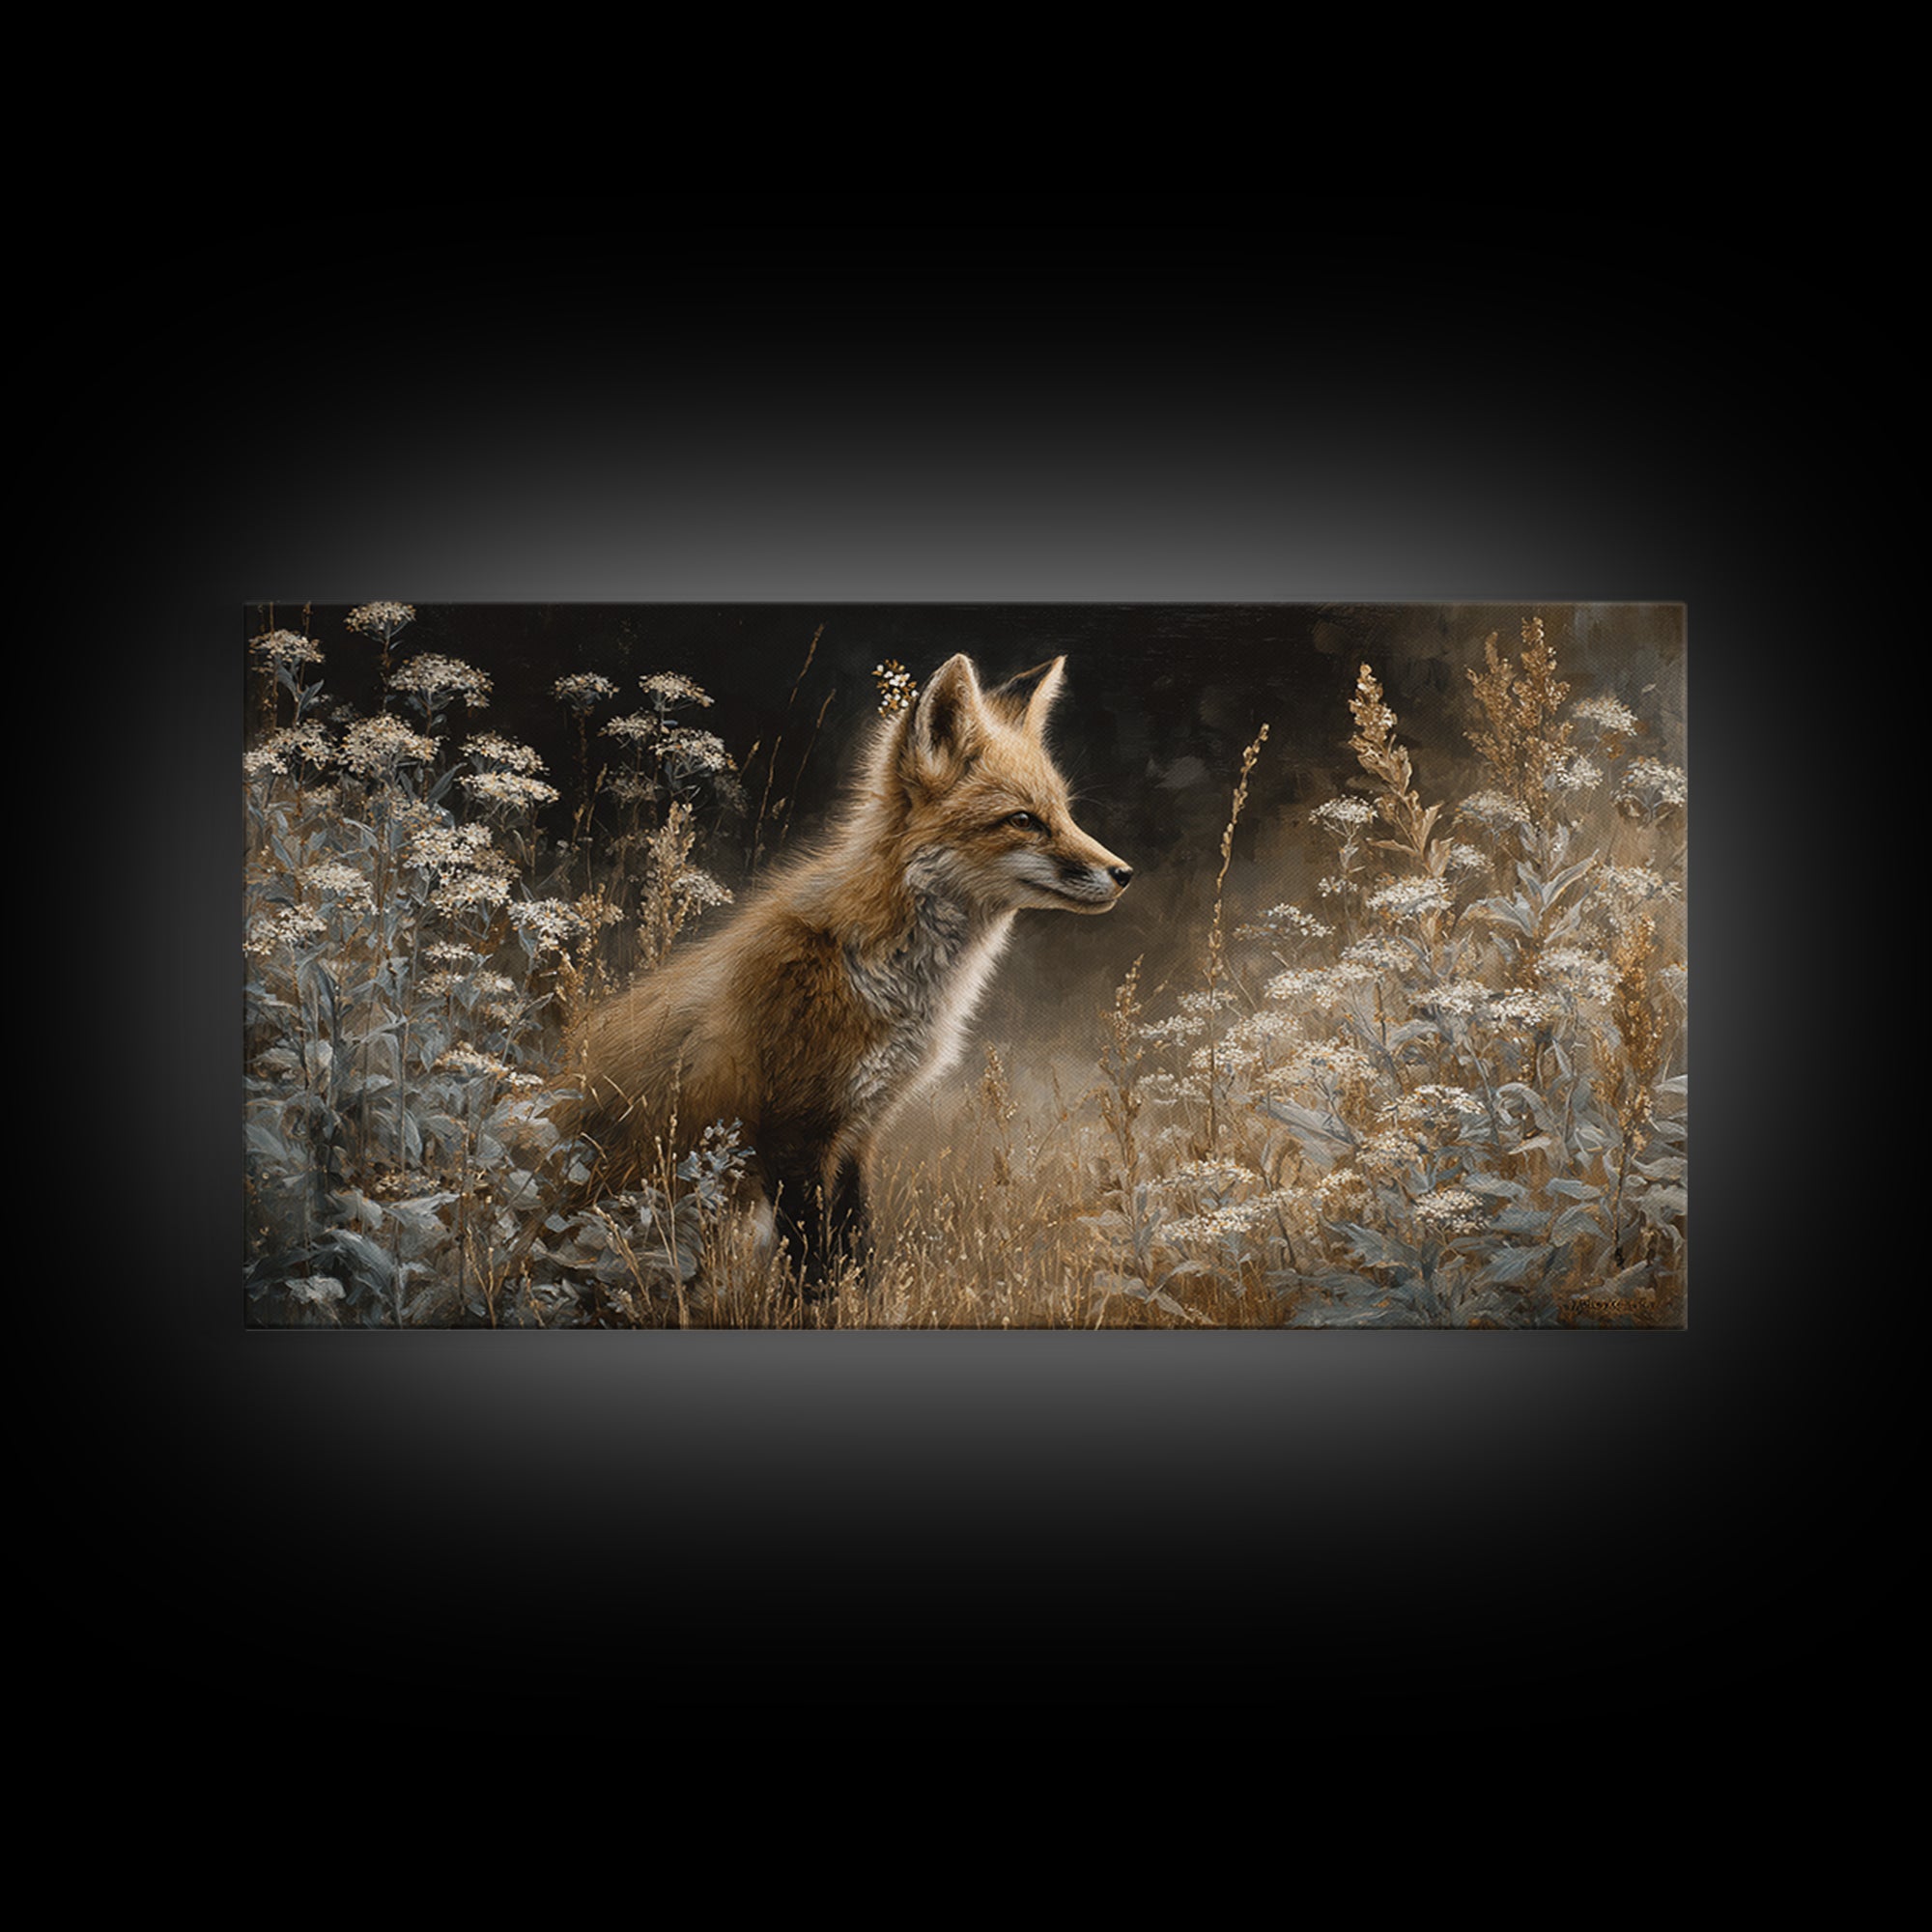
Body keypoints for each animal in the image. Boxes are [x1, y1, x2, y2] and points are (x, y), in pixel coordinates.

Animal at [556, 651, 1132, 1282]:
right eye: (1024, 820)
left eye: (1064, 815)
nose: (1123, 873)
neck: (878, 972)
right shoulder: (793, 1131)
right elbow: (814, 1267)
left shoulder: (859, 1130)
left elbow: (855, 1247)